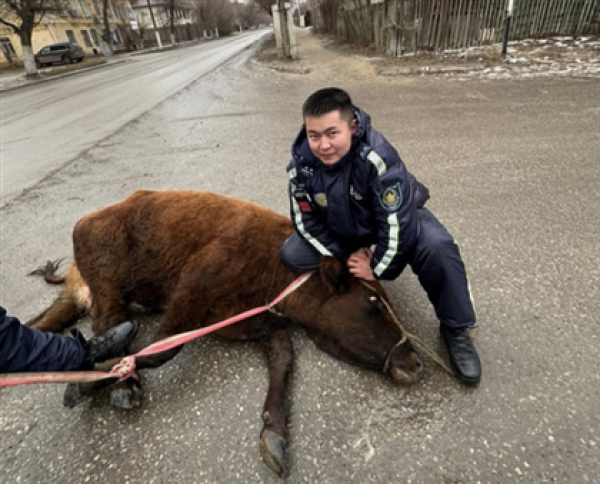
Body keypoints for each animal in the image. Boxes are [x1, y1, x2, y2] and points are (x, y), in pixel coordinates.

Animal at [27, 191, 422, 474]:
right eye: (373, 301)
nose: (416, 362)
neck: (276, 269)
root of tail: (87, 219)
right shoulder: (192, 290)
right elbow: (162, 349)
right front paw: (84, 384)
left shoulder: (258, 325)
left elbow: (284, 360)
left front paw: (274, 437)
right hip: (107, 281)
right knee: (109, 324)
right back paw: (125, 386)